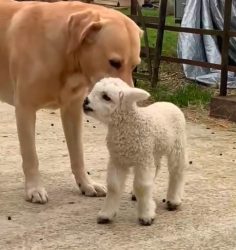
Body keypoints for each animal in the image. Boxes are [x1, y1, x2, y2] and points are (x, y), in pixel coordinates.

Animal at [0, 0, 142, 203]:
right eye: (114, 62)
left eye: (135, 65)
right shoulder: (25, 109)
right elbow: (30, 156)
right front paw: (34, 188)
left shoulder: (72, 110)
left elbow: (78, 154)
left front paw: (86, 184)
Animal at [83, 77, 188, 226]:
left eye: (106, 97)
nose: (85, 101)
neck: (130, 124)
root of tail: (169, 103)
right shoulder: (118, 160)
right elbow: (114, 186)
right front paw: (106, 215)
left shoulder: (142, 159)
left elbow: (142, 186)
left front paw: (146, 216)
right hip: (153, 151)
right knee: (157, 167)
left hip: (177, 145)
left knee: (177, 171)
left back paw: (173, 200)